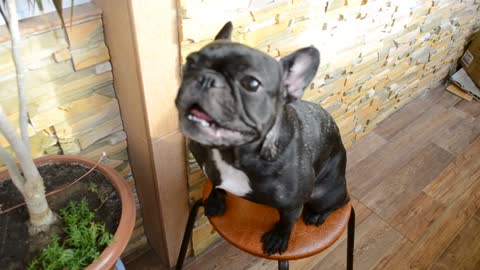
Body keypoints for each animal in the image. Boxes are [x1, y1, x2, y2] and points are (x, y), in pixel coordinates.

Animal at [175, 21, 348, 255]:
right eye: (190, 62)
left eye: (251, 84)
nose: (207, 78)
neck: (229, 154)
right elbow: (216, 184)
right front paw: (214, 201)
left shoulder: (292, 203)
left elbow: (287, 220)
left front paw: (278, 237)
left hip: (323, 194)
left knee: (340, 201)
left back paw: (317, 215)